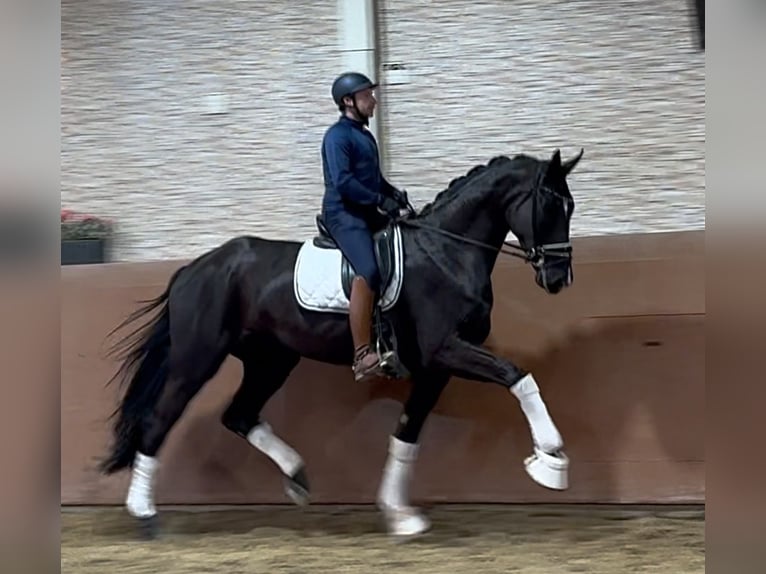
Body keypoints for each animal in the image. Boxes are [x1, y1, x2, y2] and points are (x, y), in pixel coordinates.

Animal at [100, 147, 584, 540]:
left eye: (571, 205)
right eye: (550, 203)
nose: (558, 278)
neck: (446, 253)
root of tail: (194, 268)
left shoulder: (435, 368)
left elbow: (407, 433)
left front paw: (399, 515)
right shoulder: (445, 350)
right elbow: (517, 376)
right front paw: (551, 459)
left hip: (271, 360)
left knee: (239, 415)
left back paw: (297, 476)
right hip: (197, 359)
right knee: (160, 419)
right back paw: (145, 514)